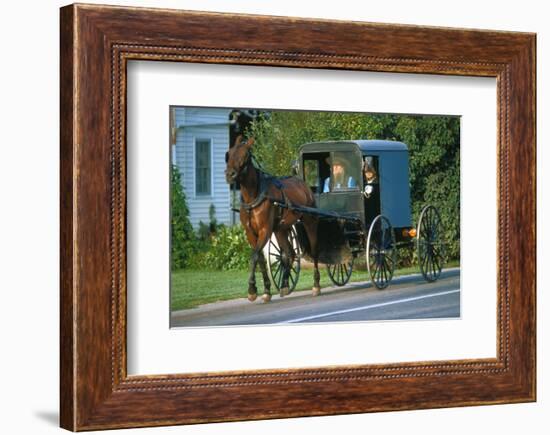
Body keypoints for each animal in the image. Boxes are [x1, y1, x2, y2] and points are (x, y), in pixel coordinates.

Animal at [224, 136, 322, 304]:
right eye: (229, 154)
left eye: (245, 155)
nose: (230, 174)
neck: (254, 196)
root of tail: (303, 184)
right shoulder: (250, 233)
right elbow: (260, 259)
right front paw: (266, 290)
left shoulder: (265, 230)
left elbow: (254, 256)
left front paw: (252, 289)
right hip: (281, 229)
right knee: (289, 253)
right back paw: (285, 284)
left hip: (309, 221)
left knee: (314, 251)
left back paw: (316, 285)